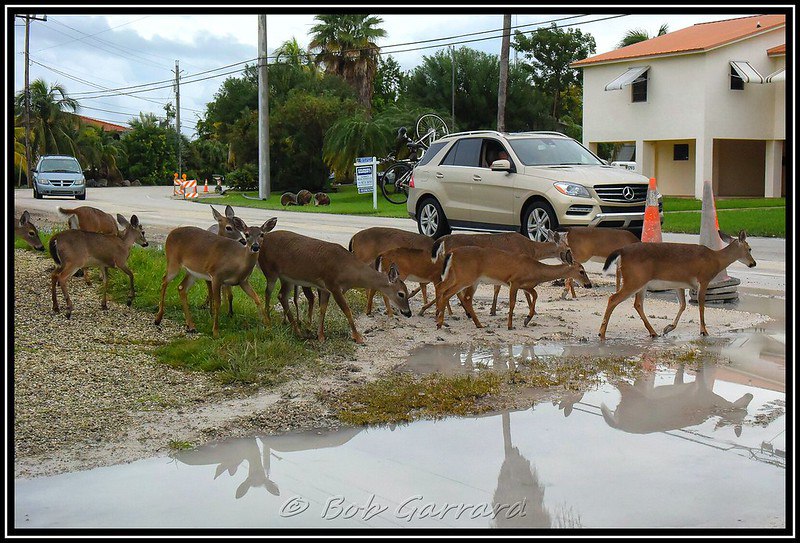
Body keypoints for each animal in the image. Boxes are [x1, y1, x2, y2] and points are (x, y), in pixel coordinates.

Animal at [258, 230, 412, 344]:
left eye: (407, 291)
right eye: (401, 293)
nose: (408, 313)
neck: (349, 271)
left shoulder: (325, 288)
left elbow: (323, 309)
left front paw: (320, 336)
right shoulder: (333, 285)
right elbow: (347, 310)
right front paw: (358, 337)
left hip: (287, 278)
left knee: (281, 295)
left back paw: (298, 331)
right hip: (270, 271)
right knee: (269, 293)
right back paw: (271, 324)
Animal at [434, 247, 592, 330]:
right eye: (582, 271)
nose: (589, 285)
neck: (536, 270)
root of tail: (451, 253)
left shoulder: (526, 285)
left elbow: (535, 295)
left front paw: (527, 319)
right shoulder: (514, 281)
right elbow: (512, 303)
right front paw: (510, 325)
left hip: (465, 278)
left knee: (453, 292)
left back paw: (474, 324)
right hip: (465, 277)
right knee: (448, 292)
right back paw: (440, 322)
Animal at [598, 230, 757, 340]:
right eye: (749, 248)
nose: (753, 263)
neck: (716, 260)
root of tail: (621, 251)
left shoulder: (679, 284)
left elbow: (683, 305)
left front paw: (668, 328)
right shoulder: (703, 279)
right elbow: (701, 305)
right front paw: (704, 331)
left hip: (641, 283)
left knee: (637, 304)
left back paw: (653, 332)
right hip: (634, 279)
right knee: (613, 299)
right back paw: (602, 333)